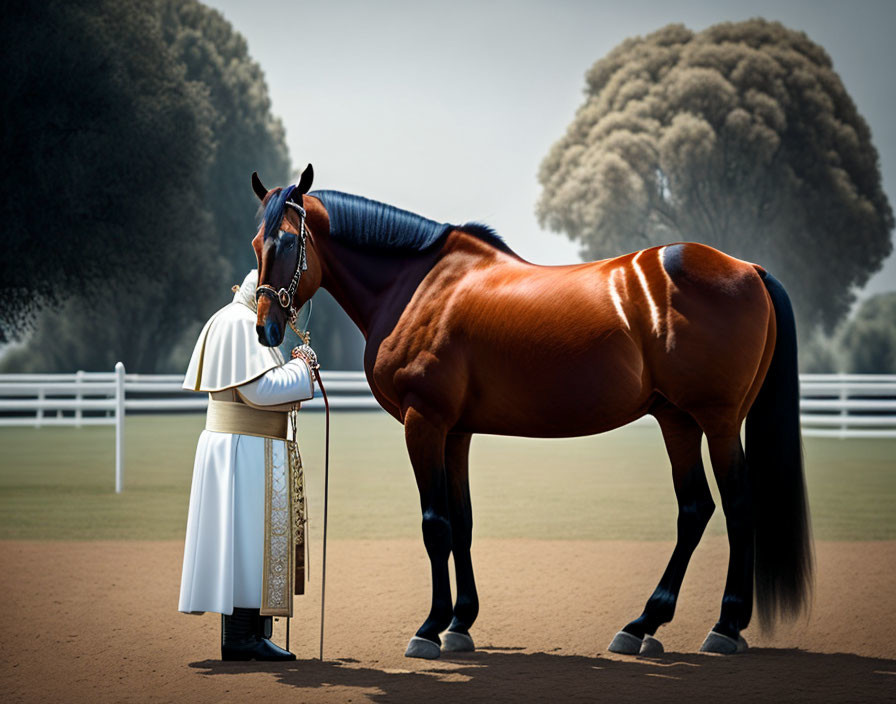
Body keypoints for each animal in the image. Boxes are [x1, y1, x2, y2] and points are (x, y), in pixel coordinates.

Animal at [250, 165, 812, 660]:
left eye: (286, 244)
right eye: (256, 244)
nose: (265, 329)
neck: (419, 286)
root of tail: (749, 268)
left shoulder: (424, 422)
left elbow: (436, 524)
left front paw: (430, 628)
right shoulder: (455, 432)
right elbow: (462, 522)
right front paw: (460, 624)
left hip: (718, 421)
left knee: (738, 506)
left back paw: (725, 626)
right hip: (677, 420)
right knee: (695, 509)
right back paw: (642, 626)